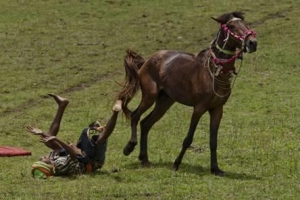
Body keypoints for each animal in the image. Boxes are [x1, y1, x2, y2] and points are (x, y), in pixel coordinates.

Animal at [116, 11, 256, 176]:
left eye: (245, 24)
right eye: (232, 26)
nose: (252, 43)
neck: (213, 71)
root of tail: (147, 61)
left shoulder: (217, 109)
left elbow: (213, 141)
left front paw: (215, 168)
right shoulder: (199, 108)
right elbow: (188, 138)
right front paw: (176, 163)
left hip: (165, 102)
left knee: (145, 123)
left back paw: (144, 159)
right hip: (150, 96)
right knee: (135, 116)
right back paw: (129, 147)